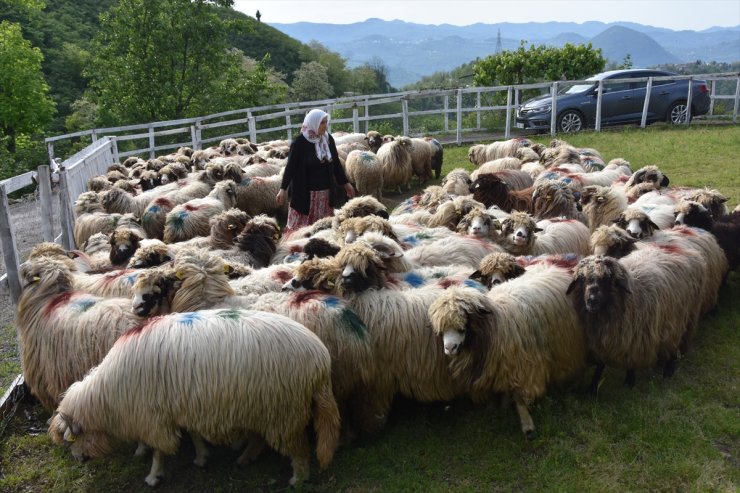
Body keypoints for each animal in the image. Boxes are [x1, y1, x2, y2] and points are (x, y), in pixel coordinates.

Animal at [49, 308, 342, 484]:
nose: (78, 460)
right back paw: (246, 457)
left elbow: (159, 450)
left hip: (285, 411)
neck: (108, 394)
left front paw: (153, 476)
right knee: (260, 438)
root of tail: (321, 358)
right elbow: (193, 434)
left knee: (299, 447)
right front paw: (201, 457)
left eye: (74, 437)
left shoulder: (154, 418)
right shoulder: (183, 406)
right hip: (263, 406)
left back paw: (298, 477)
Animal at [430, 270, 588, 438]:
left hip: (567, 342)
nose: (449, 348)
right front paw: (500, 408)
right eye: (441, 329)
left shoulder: (524, 365)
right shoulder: (501, 364)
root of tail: (557, 270)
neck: (497, 325)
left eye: (464, 322)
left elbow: (520, 397)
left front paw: (527, 425)